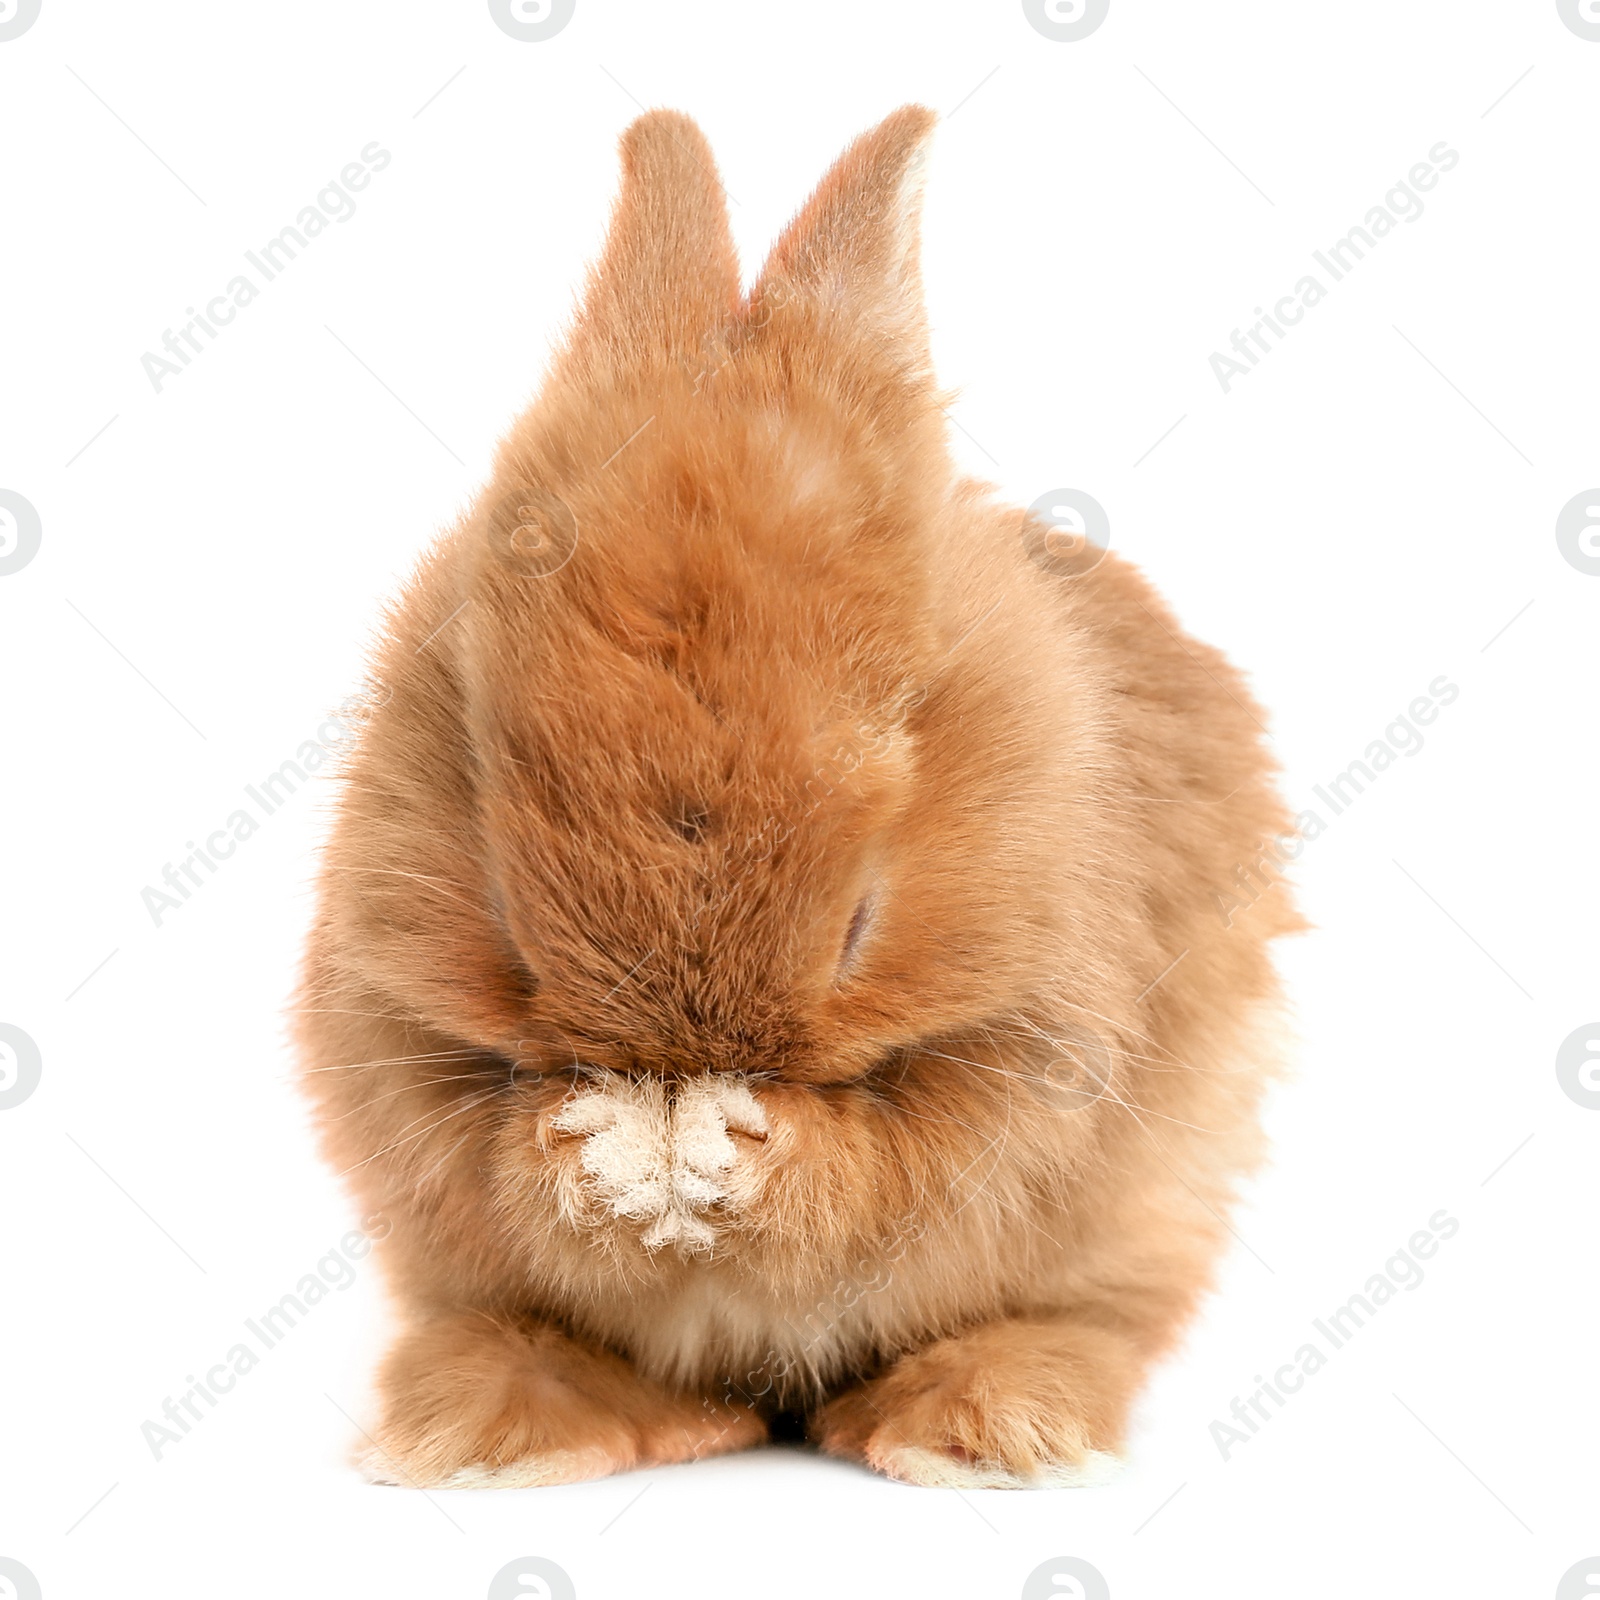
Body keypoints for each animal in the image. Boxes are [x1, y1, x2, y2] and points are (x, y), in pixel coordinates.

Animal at [297, 109, 1299, 1484]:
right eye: (503, 911)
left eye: (860, 924)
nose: (675, 1071)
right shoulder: (384, 1033)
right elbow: (484, 1159)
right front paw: (600, 1149)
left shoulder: (1041, 1046)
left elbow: (888, 1169)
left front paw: (734, 1147)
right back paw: (497, 1430)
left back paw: (977, 1427)